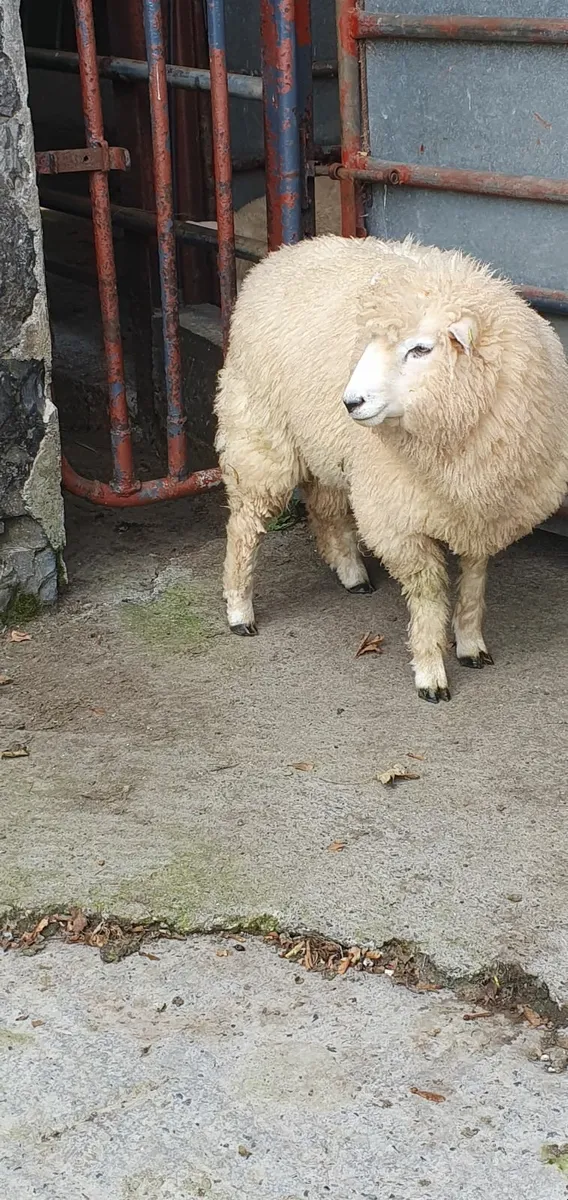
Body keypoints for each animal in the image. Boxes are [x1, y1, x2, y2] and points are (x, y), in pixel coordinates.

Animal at [214, 234, 568, 702]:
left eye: (420, 349)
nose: (351, 402)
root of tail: (281, 255)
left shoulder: (479, 506)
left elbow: (475, 580)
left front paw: (470, 643)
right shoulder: (399, 516)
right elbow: (428, 593)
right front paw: (431, 670)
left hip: (325, 443)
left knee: (325, 506)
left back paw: (352, 574)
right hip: (260, 433)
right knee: (245, 526)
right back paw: (240, 609)